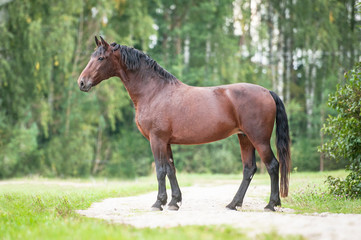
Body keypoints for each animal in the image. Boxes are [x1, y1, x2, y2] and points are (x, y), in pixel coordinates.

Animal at [76, 36, 290, 211]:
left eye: (101, 58)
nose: (81, 83)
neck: (154, 92)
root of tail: (267, 92)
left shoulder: (157, 139)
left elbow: (160, 170)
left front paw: (158, 203)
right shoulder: (166, 142)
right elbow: (171, 169)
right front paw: (174, 202)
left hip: (258, 139)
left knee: (272, 165)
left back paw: (271, 204)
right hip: (244, 138)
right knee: (249, 169)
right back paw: (233, 204)